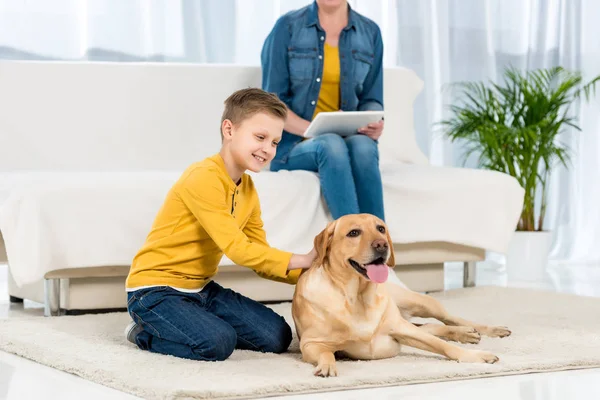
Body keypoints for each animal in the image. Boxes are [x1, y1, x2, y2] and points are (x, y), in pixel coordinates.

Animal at [292, 214, 510, 376]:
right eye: (353, 233)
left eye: (380, 228)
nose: (382, 244)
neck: (356, 296)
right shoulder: (311, 344)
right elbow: (327, 354)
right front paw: (327, 366)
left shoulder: (401, 329)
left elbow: (442, 346)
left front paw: (476, 356)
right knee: (430, 326)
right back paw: (465, 333)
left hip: (421, 303)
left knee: (449, 319)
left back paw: (484, 330)